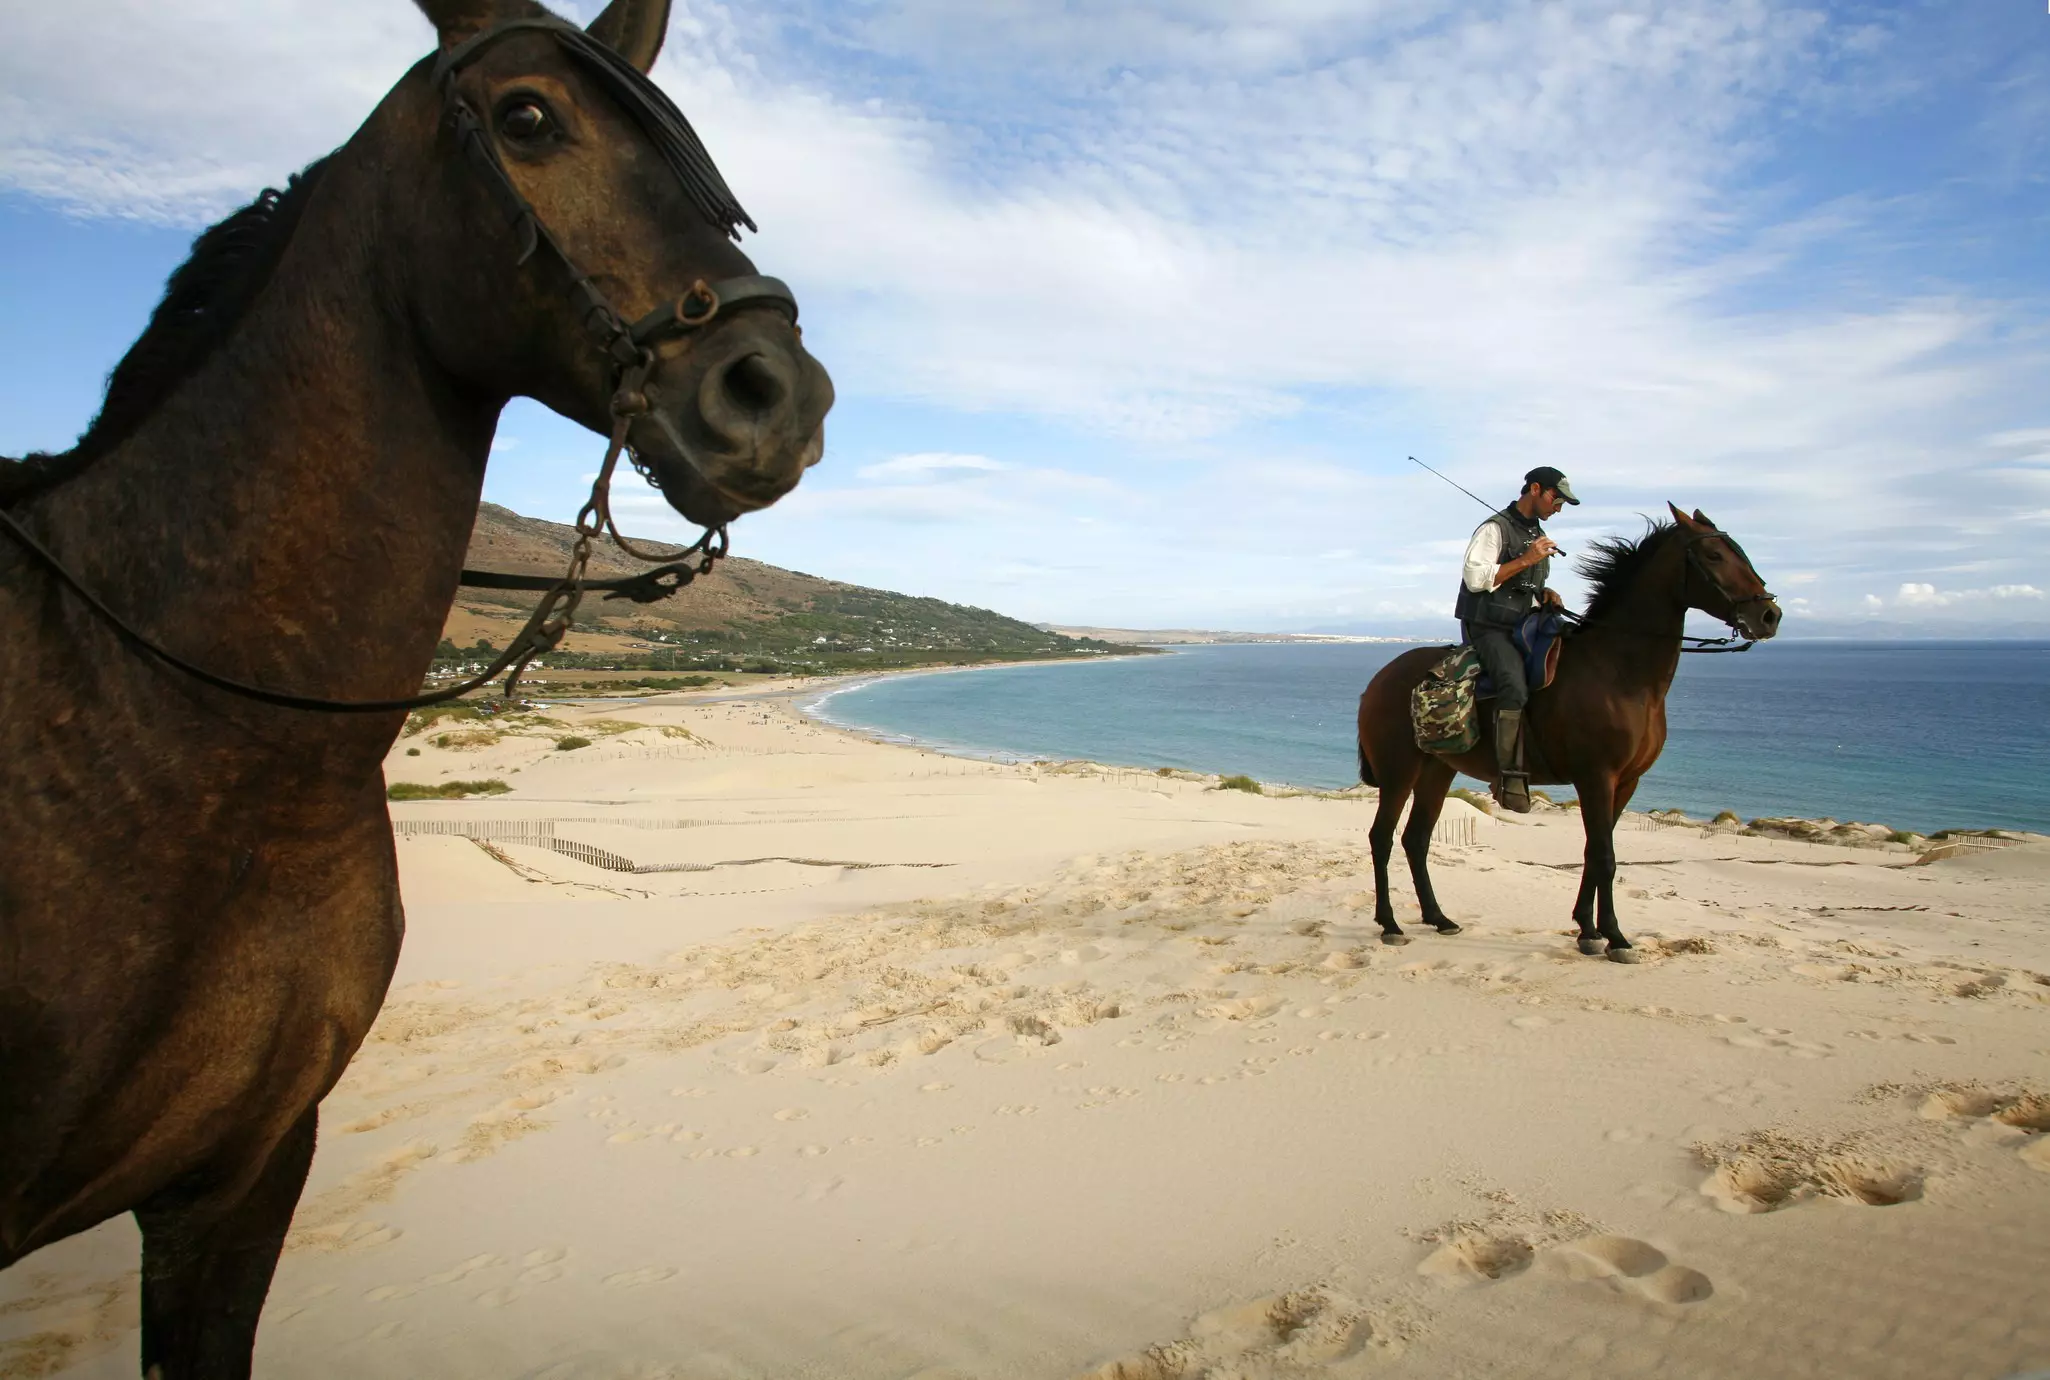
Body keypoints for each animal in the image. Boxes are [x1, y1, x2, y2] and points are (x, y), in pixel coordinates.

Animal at [1354, 504, 1780, 962]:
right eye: (1715, 556)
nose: (1769, 616)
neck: (1618, 672)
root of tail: (1378, 679)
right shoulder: (1596, 777)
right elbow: (1605, 857)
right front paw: (1615, 937)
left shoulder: (1625, 782)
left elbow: (1595, 853)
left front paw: (1588, 931)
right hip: (1399, 772)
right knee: (1382, 838)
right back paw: (1390, 924)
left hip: (1438, 770)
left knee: (1416, 839)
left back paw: (1438, 917)